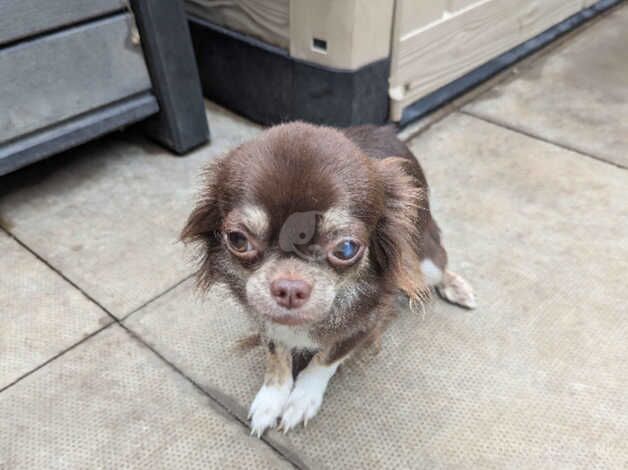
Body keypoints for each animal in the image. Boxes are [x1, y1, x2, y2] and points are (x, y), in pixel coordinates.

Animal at [182, 122, 476, 436]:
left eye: (345, 248)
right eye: (238, 240)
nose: (289, 288)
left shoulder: (363, 326)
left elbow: (325, 360)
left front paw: (302, 399)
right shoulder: (263, 318)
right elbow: (277, 355)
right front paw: (271, 399)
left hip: (425, 260)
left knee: (438, 268)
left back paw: (456, 286)